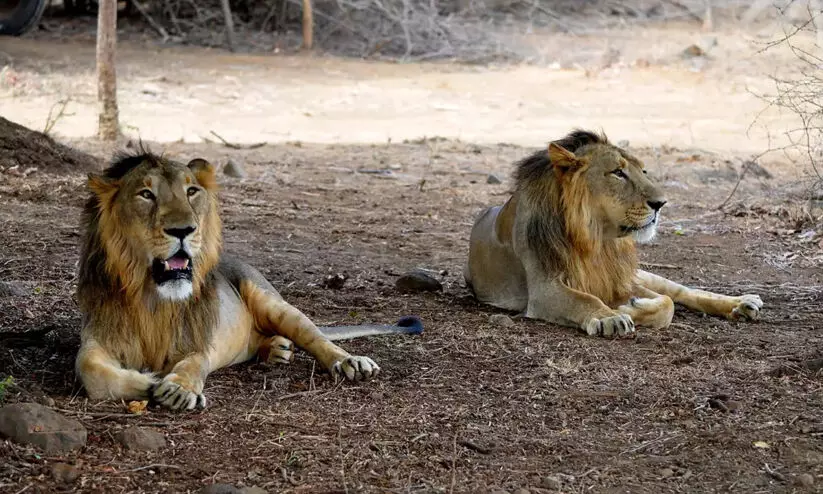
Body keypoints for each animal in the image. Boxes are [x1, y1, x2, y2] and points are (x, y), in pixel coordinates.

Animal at [75, 151, 422, 410]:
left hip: (271, 301)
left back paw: (349, 362)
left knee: (316, 336)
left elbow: (192, 364)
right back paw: (276, 349)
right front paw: (151, 382)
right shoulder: (97, 337)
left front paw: (178, 389)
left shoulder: (198, 340)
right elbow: (90, 370)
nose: (183, 230)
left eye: (191, 191)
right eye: (146, 194)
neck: (152, 299)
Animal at [464, 129, 763, 337]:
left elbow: (667, 303)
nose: (661, 203)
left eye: (643, 171)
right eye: (618, 172)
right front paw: (611, 316)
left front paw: (630, 307)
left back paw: (743, 303)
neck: (598, 239)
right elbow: (584, 298)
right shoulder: (544, 287)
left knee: (682, 290)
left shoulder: (619, 280)